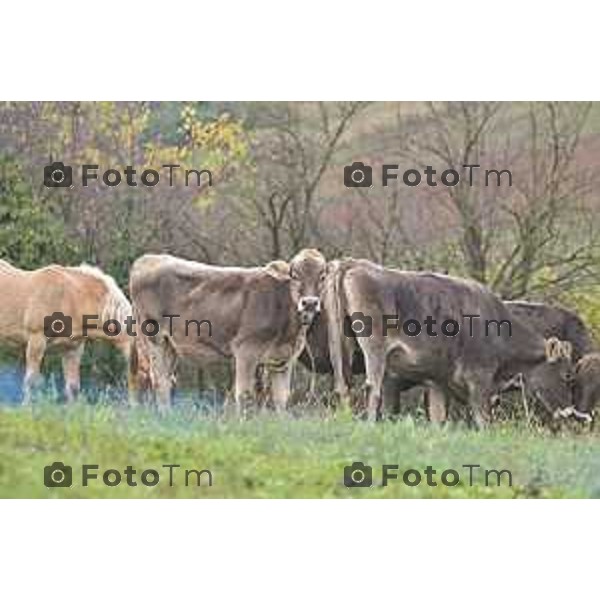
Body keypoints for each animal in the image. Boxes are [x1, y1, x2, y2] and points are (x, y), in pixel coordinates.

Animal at [0, 258, 132, 404]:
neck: (69, 297)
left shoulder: (72, 349)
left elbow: (72, 386)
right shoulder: (36, 340)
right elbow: (31, 380)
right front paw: (27, 406)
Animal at [129, 248, 328, 412]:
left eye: (323, 276)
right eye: (295, 275)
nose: (310, 303)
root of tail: (148, 258)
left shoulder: (282, 360)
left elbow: (281, 399)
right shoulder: (246, 351)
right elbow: (244, 395)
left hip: (170, 345)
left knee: (166, 381)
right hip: (154, 338)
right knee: (159, 381)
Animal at [324, 258, 572, 426]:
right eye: (567, 375)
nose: (570, 413)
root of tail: (354, 263)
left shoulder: (437, 381)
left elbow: (438, 419)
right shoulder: (479, 378)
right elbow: (483, 421)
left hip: (337, 343)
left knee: (342, 386)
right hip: (374, 348)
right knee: (372, 388)